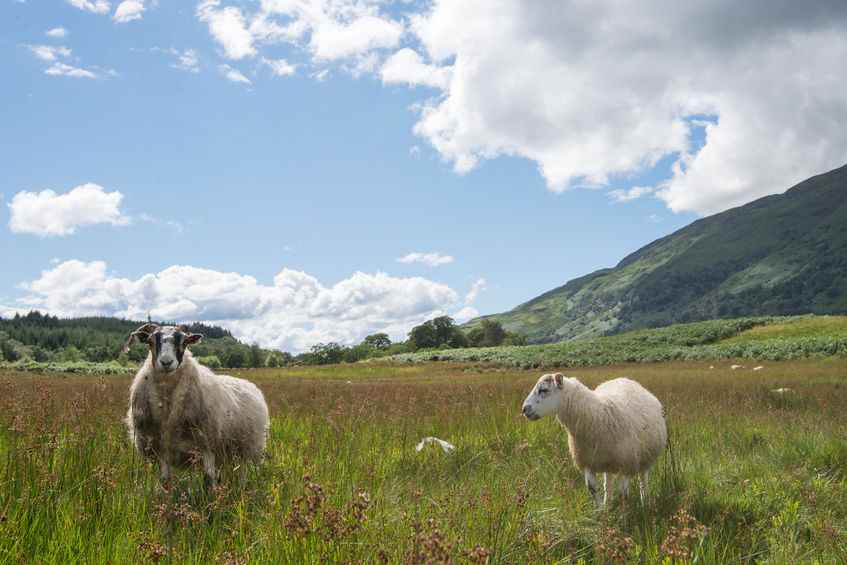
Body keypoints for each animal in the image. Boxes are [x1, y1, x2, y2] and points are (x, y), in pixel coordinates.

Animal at [121, 322, 268, 484]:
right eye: (150, 341)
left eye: (184, 342)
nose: (166, 362)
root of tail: (249, 384)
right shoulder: (162, 448)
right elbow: (165, 482)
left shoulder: (207, 445)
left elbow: (209, 480)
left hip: (247, 447)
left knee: (243, 472)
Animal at [524, 372, 668, 504]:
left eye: (544, 390)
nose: (524, 409)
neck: (598, 416)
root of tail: (626, 379)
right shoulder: (588, 462)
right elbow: (592, 488)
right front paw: (601, 512)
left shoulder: (626, 463)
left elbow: (623, 494)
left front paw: (623, 514)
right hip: (607, 462)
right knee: (608, 484)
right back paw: (607, 503)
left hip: (644, 458)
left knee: (643, 481)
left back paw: (645, 503)